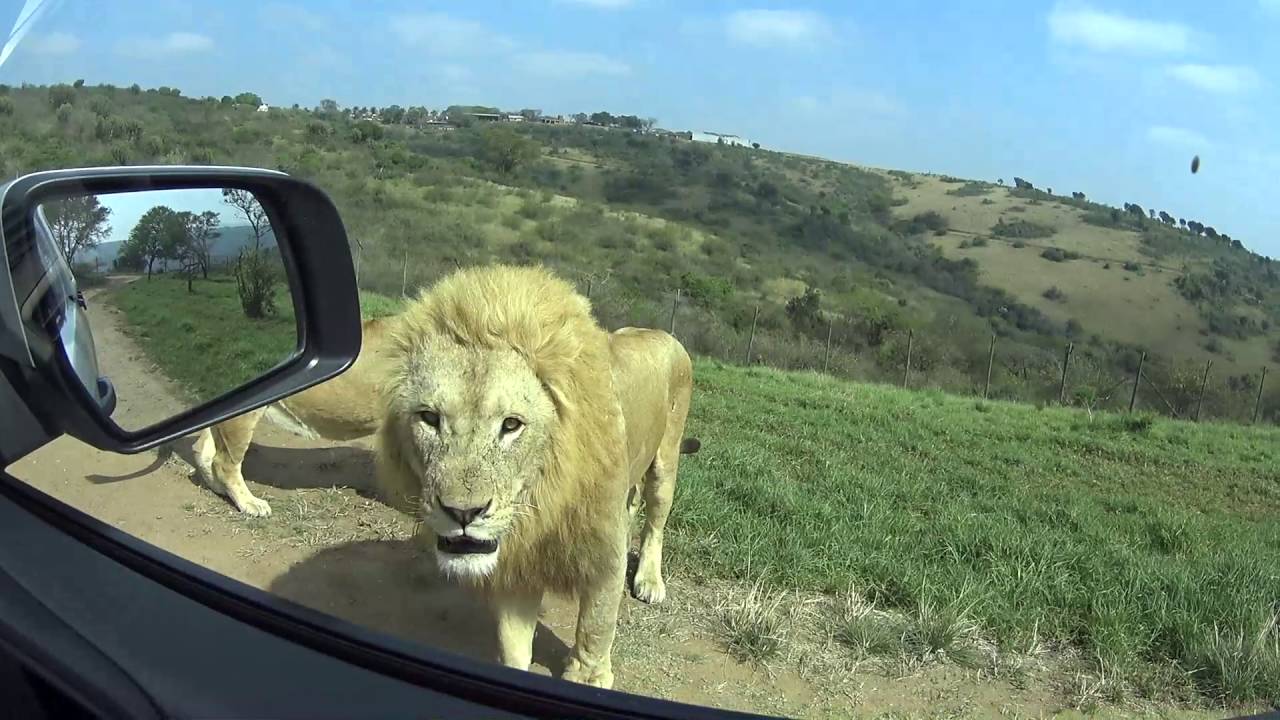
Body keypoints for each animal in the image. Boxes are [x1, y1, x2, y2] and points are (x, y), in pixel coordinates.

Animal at [374, 263, 699, 689]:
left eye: (512, 425)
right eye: (429, 417)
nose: (463, 513)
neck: (543, 498)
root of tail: (662, 333)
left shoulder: (604, 553)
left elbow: (595, 629)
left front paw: (588, 677)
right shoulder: (518, 564)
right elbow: (513, 646)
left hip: (666, 459)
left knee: (656, 520)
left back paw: (649, 582)